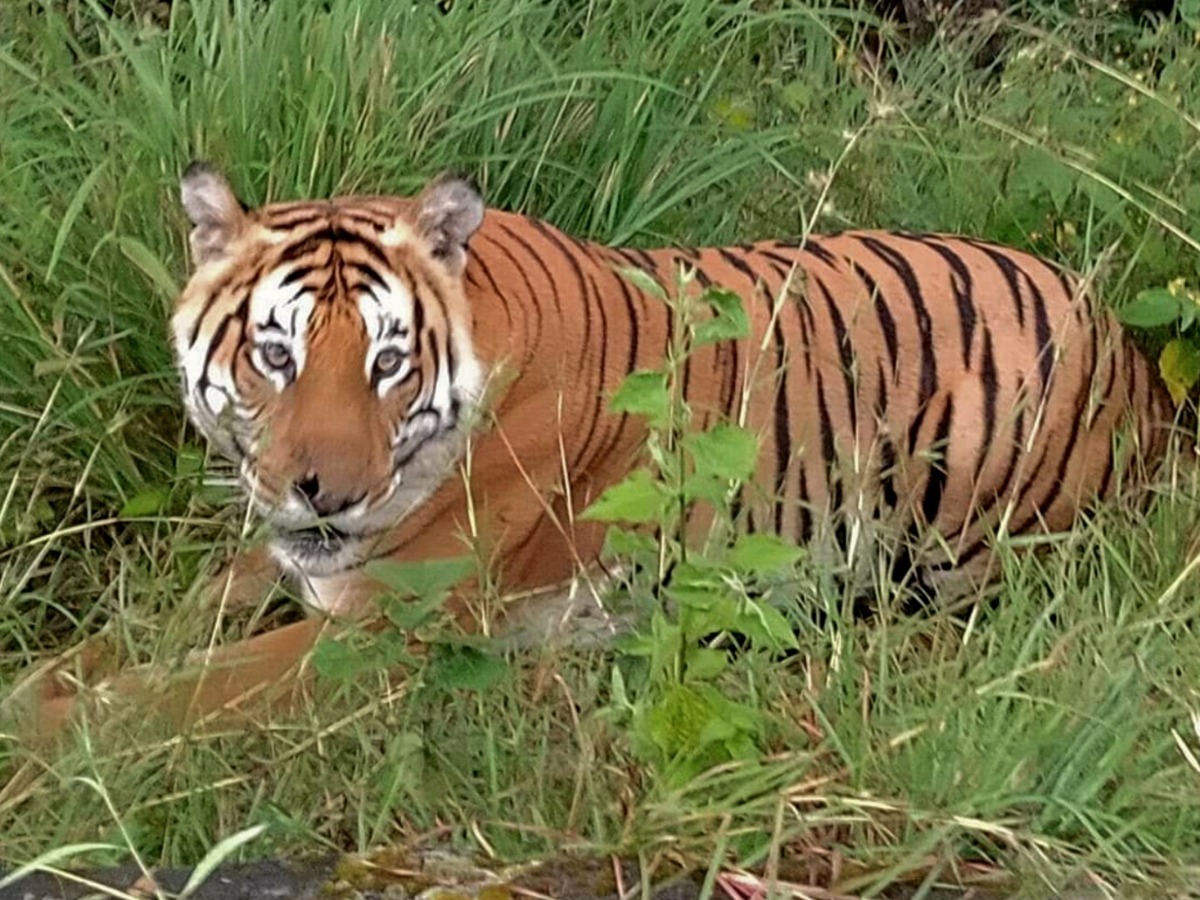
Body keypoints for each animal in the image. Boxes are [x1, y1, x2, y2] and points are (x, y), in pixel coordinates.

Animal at [23, 165, 1176, 744]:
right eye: (276, 354)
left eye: (389, 362)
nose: (329, 493)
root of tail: (1143, 365)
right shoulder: (284, 560)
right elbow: (128, 644)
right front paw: (37, 680)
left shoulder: (379, 630)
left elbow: (162, 695)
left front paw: (30, 752)